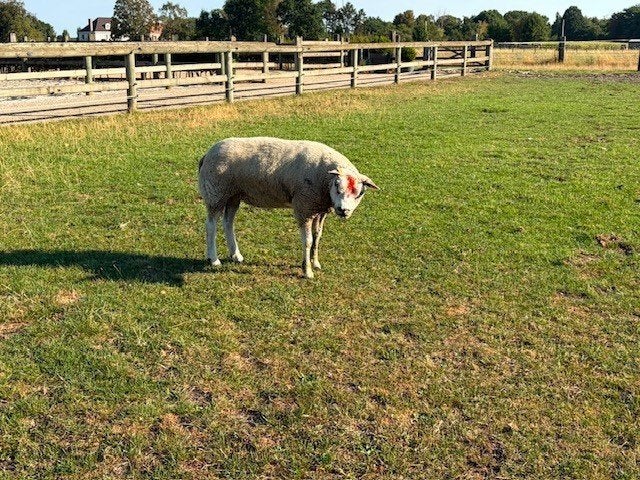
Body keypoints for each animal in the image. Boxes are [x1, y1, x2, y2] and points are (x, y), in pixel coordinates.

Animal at [198, 137, 379, 278]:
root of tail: (206, 155)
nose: (343, 210)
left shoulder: (319, 209)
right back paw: (214, 259)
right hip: (215, 192)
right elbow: (308, 241)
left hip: (233, 195)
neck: (324, 180)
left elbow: (317, 236)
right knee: (211, 225)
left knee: (228, 222)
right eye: (337, 185)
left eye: (359, 193)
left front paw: (315, 262)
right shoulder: (304, 207)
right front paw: (307, 271)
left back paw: (236, 255)